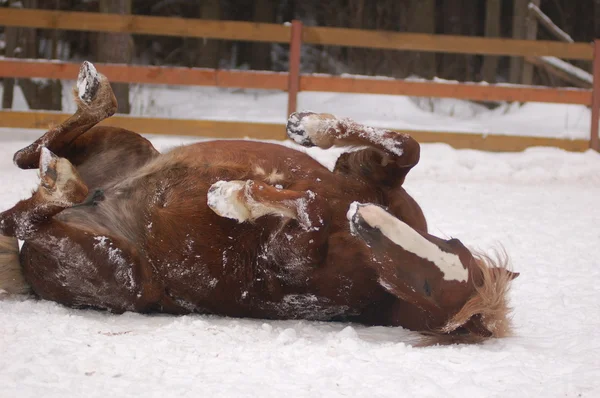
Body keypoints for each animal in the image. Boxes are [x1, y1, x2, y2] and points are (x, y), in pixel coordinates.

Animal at [0, 62, 516, 346]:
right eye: (454, 244)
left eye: (426, 289)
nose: (365, 219)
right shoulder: (364, 176)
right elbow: (406, 147)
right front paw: (309, 125)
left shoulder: (286, 262)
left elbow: (308, 209)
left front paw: (229, 197)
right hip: (127, 145)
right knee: (29, 158)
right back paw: (90, 101)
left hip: (123, 273)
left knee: (26, 215)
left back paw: (61, 183)